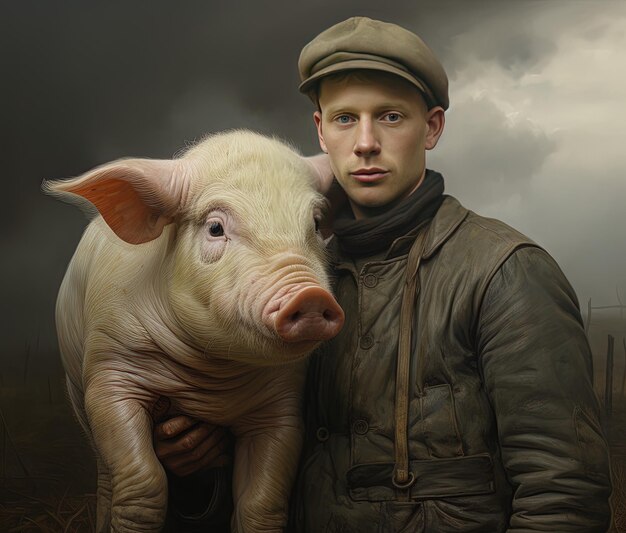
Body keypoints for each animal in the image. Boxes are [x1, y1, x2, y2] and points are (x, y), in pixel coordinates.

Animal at [44, 130, 344, 532]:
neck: (213, 372)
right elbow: (142, 486)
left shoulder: (282, 402)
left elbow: (262, 503)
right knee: (105, 475)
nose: (309, 295)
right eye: (215, 228)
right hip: (75, 389)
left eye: (314, 223)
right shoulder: (108, 373)